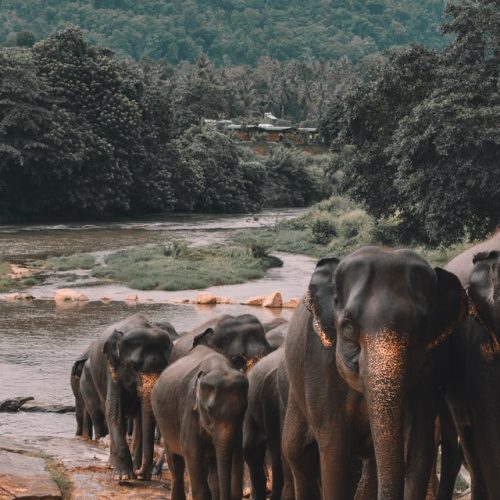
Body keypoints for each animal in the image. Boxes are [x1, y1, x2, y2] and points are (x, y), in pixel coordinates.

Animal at [85, 312, 173, 480]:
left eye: (164, 366)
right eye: (134, 366)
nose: (140, 472)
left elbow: (142, 416)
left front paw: (137, 474)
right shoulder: (111, 368)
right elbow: (114, 409)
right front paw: (123, 477)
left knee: (138, 417)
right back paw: (112, 465)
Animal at [150, 344, 248, 500]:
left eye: (244, 408)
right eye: (209, 410)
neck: (220, 368)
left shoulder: (239, 428)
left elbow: (237, 456)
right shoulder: (190, 410)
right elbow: (192, 452)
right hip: (164, 423)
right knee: (175, 465)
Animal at [282, 248, 464, 500]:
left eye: (422, 326)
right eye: (348, 323)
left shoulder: (435, 366)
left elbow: (420, 449)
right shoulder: (319, 363)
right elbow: (335, 456)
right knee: (297, 452)